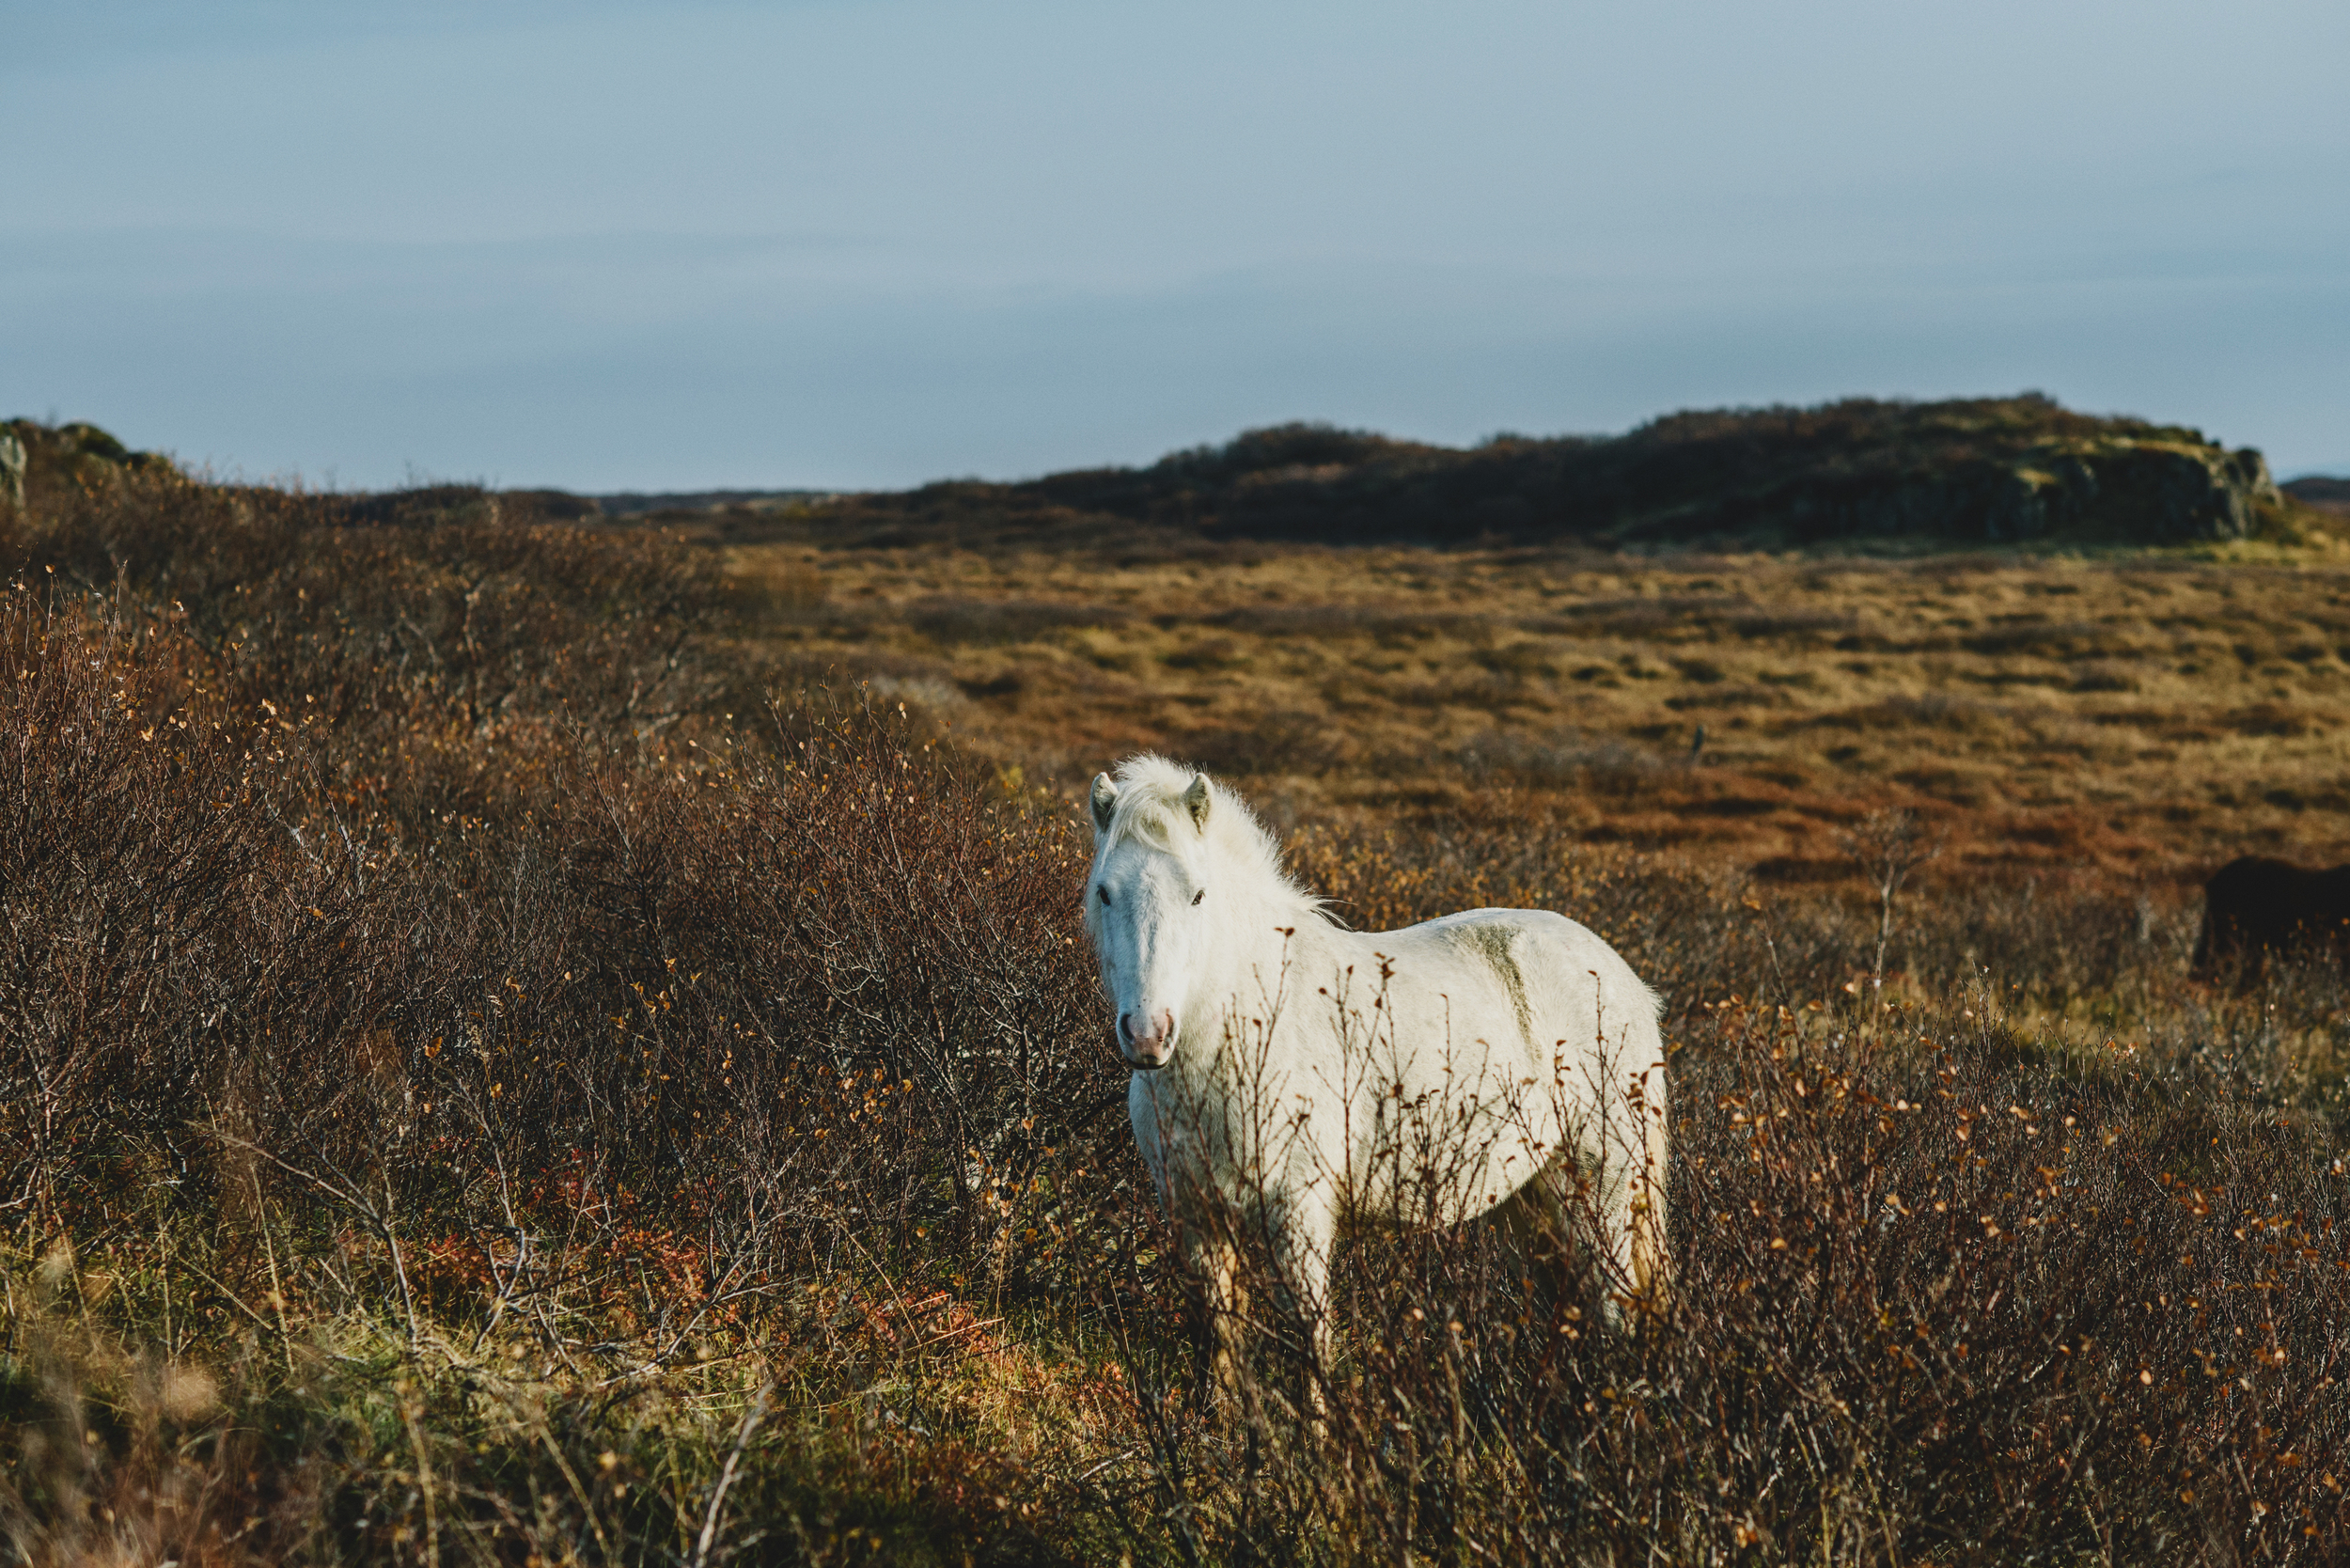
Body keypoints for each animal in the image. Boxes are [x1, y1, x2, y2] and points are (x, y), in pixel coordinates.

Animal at [1081, 757, 1673, 1401]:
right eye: (1105, 892)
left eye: (1197, 894)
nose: (1147, 1035)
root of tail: (1629, 983)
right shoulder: (1196, 1217)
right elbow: (1221, 1342)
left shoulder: (1300, 1210)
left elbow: (1311, 1340)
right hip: (1535, 1204)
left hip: (1601, 1192)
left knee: (1618, 1310)